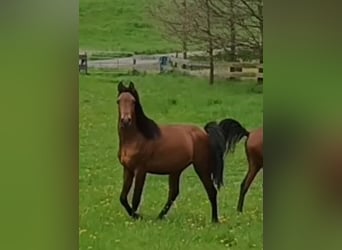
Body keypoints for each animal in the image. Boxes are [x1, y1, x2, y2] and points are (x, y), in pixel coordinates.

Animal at [117, 81, 227, 222]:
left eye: (133, 101)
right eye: (118, 101)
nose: (126, 120)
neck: (137, 138)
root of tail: (204, 132)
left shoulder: (140, 170)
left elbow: (136, 198)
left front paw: (137, 216)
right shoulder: (128, 169)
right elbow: (123, 197)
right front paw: (136, 215)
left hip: (201, 167)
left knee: (211, 191)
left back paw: (214, 220)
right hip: (176, 170)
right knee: (173, 193)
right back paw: (160, 216)